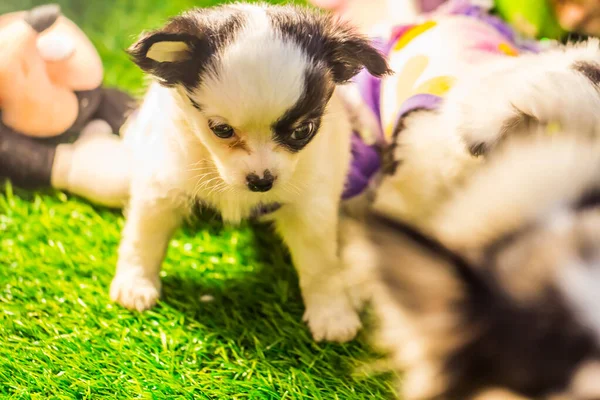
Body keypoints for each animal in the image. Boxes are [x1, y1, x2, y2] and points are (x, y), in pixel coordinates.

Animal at [109, 2, 390, 344]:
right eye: (221, 130)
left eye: (303, 131)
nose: (261, 182)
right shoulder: (162, 184)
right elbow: (143, 237)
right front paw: (136, 284)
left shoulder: (311, 205)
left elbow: (321, 264)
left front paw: (332, 314)